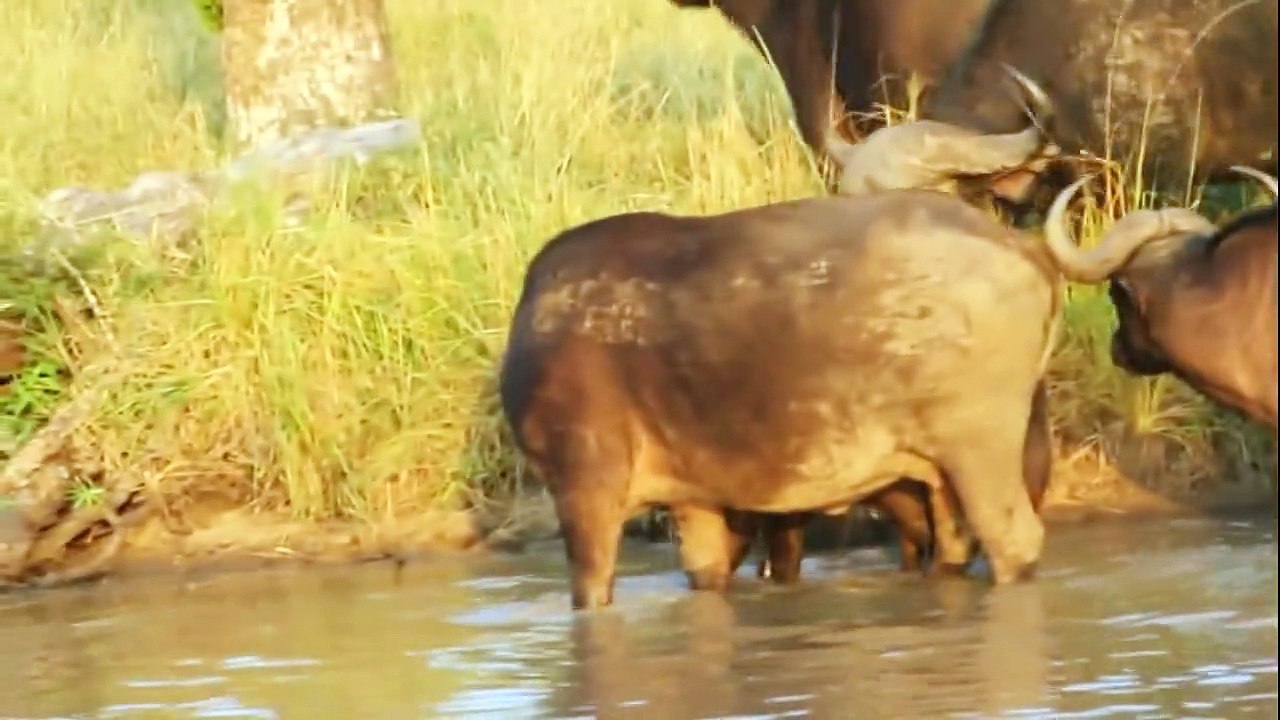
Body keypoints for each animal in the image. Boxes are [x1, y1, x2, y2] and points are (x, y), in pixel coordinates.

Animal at [498, 189, 1063, 609]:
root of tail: (1022, 247)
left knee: (1013, 540)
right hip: (942, 475)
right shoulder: (695, 500)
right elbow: (707, 574)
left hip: (980, 452)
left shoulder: (584, 486)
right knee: (954, 545)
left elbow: (591, 589)